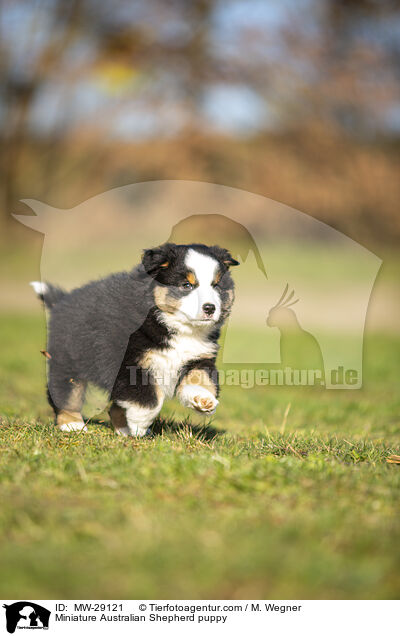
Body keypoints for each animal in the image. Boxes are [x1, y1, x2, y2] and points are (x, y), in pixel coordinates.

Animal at [32, 243, 238, 438]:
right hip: (67, 360)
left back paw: (124, 430)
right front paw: (140, 422)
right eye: (186, 285)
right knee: (66, 394)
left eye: (216, 286)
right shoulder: (126, 361)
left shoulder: (199, 358)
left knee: (114, 407)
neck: (172, 324)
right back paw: (72, 425)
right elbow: (148, 398)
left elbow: (200, 378)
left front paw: (203, 399)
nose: (210, 308)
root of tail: (61, 301)